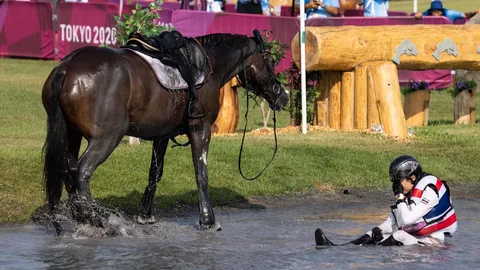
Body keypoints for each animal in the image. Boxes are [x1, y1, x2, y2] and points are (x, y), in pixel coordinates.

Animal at [41, 29, 288, 232]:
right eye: (270, 60)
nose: (283, 96)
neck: (208, 66)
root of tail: (66, 67)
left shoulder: (162, 135)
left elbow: (155, 173)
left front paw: (145, 215)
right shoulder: (200, 128)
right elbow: (201, 173)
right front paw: (208, 220)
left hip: (71, 133)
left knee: (68, 170)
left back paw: (81, 218)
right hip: (106, 137)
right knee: (81, 171)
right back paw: (96, 220)